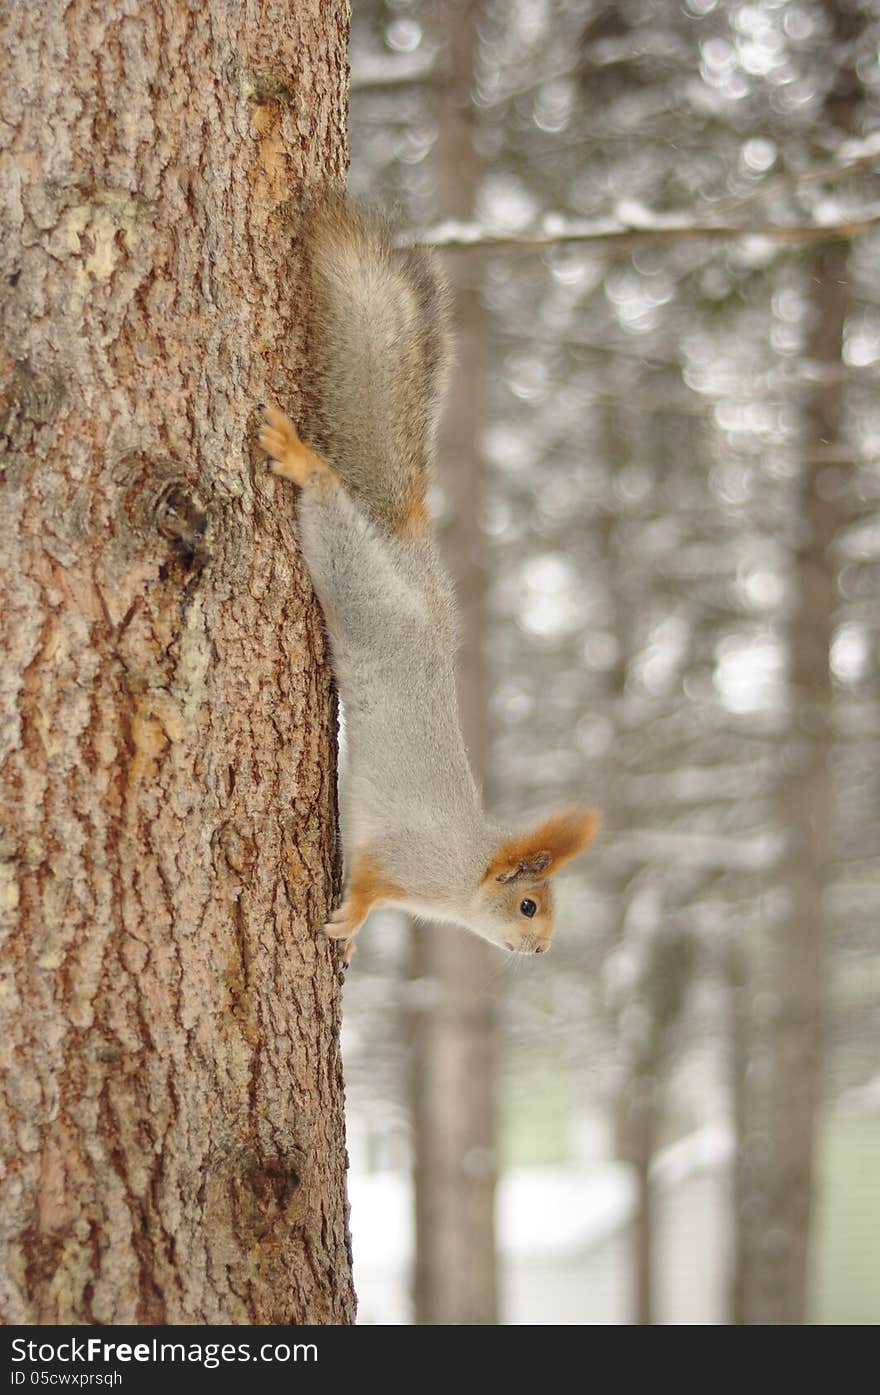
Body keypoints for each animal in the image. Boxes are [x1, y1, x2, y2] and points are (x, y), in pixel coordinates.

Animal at [258, 193, 596, 959]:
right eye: (529, 905)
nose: (541, 951)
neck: (462, 875)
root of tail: (410, 560)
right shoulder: (399, 856)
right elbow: (368, 886)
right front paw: (350, 921)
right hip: (362, 590)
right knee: (330, 510)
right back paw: (300, 459)